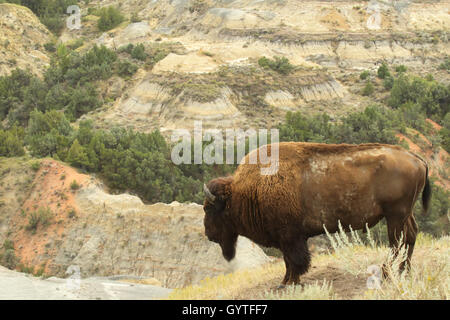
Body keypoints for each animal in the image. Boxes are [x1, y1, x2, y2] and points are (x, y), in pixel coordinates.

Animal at [202, 141, 430, 286]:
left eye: (208, 208)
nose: (208, 234)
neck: (246, 191)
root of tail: (416, 158)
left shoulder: (290, 237)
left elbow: (294, 261)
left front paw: (289, 283)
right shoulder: (287, 238)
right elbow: (289, 261)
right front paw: (285, 282)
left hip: (395, 215)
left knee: (397, 242)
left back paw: (386, 273)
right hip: (404, 214)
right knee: (410, 236)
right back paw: (403, 271)